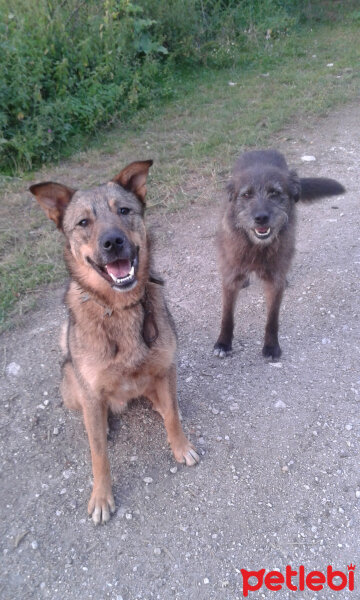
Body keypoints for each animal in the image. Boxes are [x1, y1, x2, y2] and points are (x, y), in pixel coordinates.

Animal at [30, 161, 200, 524]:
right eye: (83, 222)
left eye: (124, 211)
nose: (113, 241)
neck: (120, 307)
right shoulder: (92, 392)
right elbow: (99, 455)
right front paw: (101, 496)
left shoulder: (166, 368)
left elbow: (173, 418)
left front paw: (180, 447)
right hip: (74, 387)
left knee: (164, 404)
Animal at [214, 150, 346, 358]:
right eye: (246, 194)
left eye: (275, 193)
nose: (261, 218)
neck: (257, 246)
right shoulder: (230, 277)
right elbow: (227, 315)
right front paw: (223, 343)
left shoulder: (274, 281)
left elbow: (272, 319)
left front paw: (271, 346)